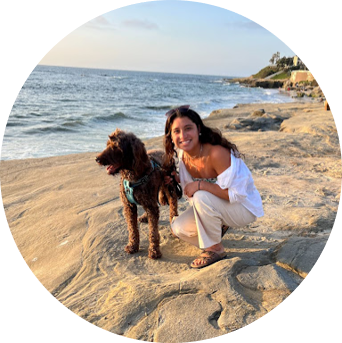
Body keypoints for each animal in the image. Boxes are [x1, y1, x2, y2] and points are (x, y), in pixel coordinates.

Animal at [95, 129, 178, 260]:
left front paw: (154, 251)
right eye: (107, 144)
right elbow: (132, 228)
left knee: (173, 207)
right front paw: (133, 246)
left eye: (116, 146)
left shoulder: (150, 205)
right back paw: (145, 217)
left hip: (170, 187)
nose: (97, 158)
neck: (133, 176)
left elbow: (153, 231)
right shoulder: (129, 206)